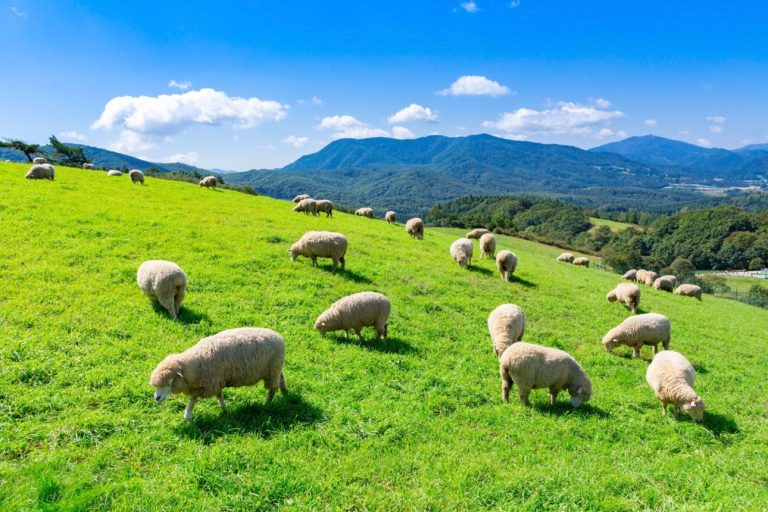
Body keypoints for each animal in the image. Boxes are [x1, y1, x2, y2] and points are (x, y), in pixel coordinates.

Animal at [150, 327, 288, 420]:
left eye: (169, 380)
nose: (156, 398)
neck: (194, 363)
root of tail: (278, 336)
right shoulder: (211, 383)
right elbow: (218, 396)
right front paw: (225, 410)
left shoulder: (209, 383)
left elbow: (196, 398)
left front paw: (188, 414)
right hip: (275, 368)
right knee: (281, 377)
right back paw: (285, 391)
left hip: (272, 369)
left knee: (272, 389)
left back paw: (267, 404)